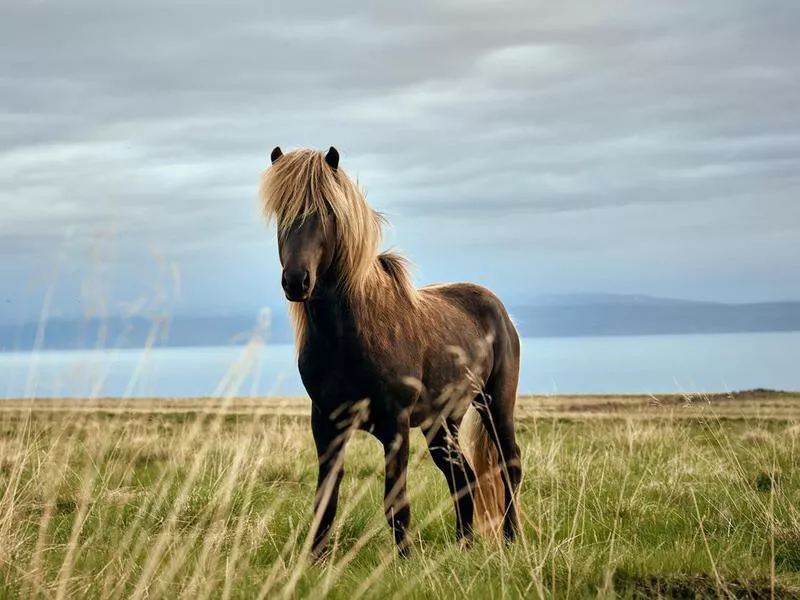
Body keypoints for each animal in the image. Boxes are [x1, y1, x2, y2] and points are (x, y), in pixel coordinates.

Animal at [260, 144, 524, 556]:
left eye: (327, 212)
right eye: (281, 214)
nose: (296, 281)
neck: (348, 336)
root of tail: (497, 307)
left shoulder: (395, 424)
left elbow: (395, 502)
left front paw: (404, 559)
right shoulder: (325, 424)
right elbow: (325, 501)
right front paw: (314, 560)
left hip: (496, 403)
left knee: (508, 466)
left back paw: (511, 540)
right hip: (441, 423)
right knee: (462, 475)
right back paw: (464, 545)